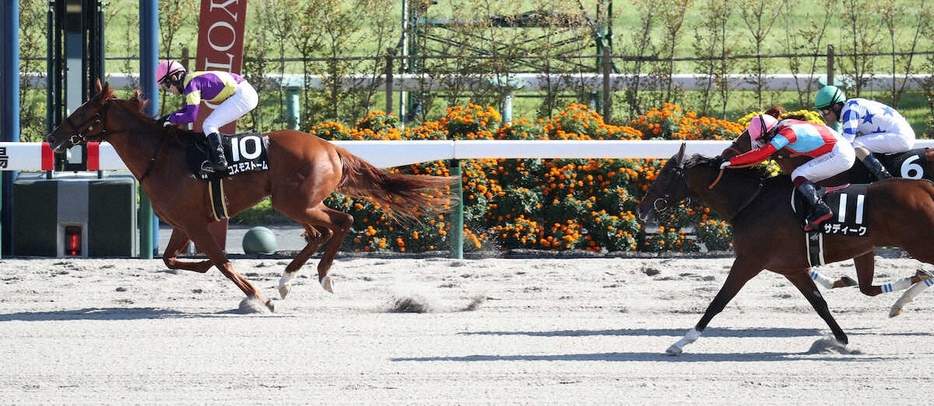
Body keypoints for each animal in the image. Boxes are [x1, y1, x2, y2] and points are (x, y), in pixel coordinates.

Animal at [46, 82, 458, 310]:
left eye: (82, 111)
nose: (52, 137)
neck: (160, 156)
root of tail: (331, 148)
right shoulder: (182, 223)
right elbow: (172, 259)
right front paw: (218, 273)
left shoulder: (195, 222)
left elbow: (222, 262)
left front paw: (260, 297)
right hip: (299, 203)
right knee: (321, 233)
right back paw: (288, 278)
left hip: (294, 202)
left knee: (342, 222)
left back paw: (318, 277)